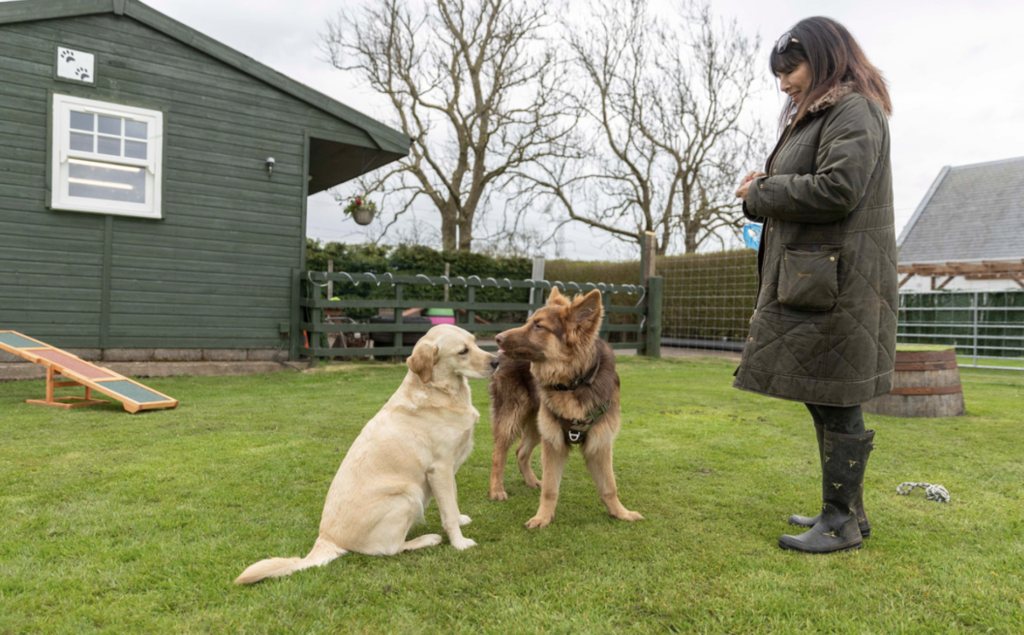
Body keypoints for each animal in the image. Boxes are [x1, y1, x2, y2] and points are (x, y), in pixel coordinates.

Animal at [487, 286, 638, 524]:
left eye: (538, 326)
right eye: (528, 322)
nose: (497, 338)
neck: (573, 382)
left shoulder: (600, 443)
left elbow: (609, 486)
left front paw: (621, 513)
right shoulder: (553, 443)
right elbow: (550, 488)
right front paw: (542, 518)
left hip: (537, 424)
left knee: (521, 451)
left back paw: (531, 480)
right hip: (512, 417)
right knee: (498, 454)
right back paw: (496, 490)